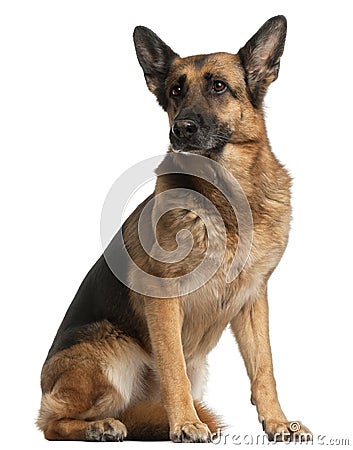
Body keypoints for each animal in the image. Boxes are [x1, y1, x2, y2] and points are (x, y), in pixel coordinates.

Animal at [36, 15, 310, 442]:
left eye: (219, 86)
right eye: (175, 91)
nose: (181, 129)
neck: (228, 197)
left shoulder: (253, 299)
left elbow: (264, 368)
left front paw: (278, 421)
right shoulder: (164, 299)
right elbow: (172, 368)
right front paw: (185, 423)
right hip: (113, 351)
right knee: (50, 423)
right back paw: (101, 426)